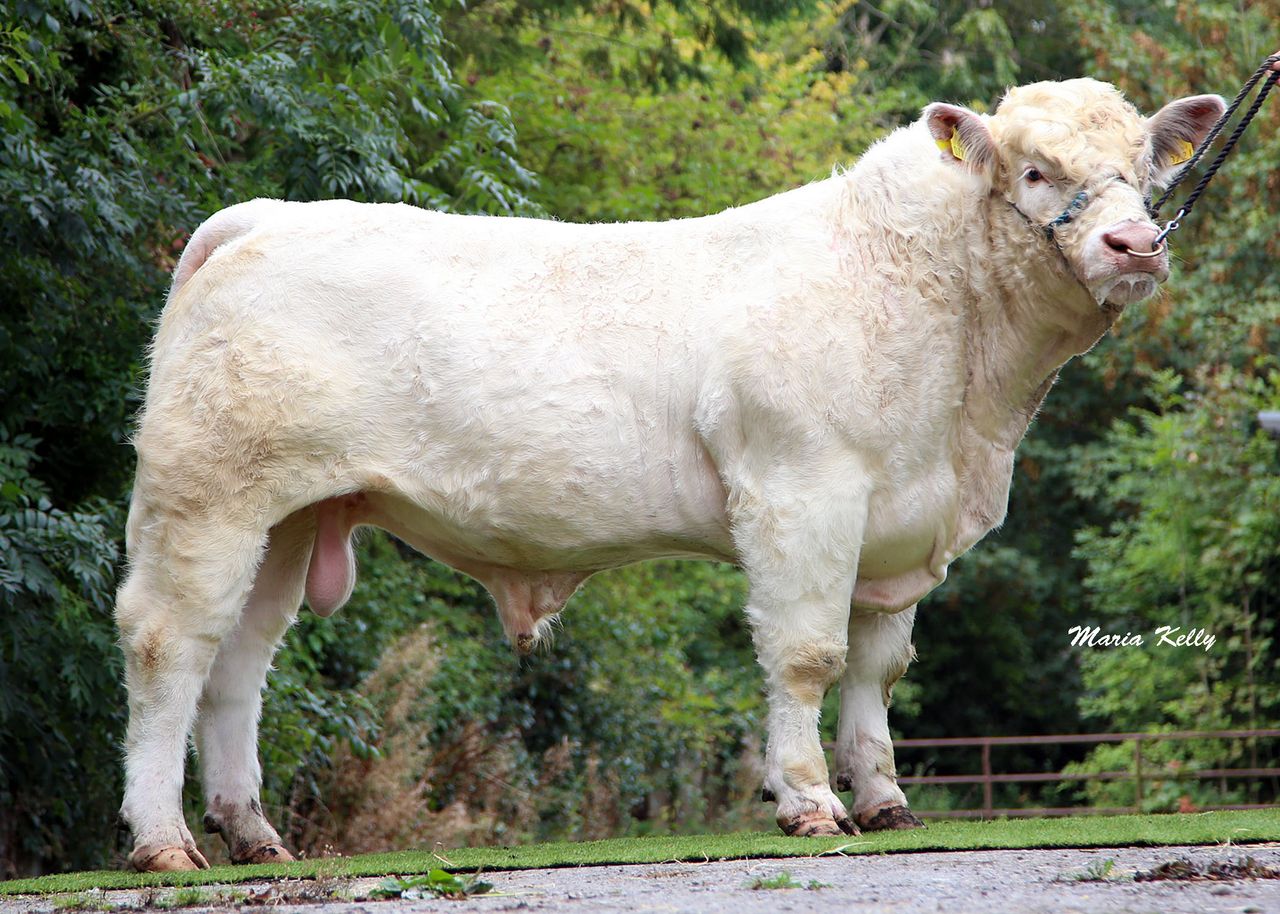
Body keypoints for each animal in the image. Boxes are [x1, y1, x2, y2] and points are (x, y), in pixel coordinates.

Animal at [115, 78, 1225, 871]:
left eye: (1143, 167)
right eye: (1034, 172)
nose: (1135, 242)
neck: (968, 408)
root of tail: (261, 217)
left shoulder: (898, 519)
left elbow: (876, 668)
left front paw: (884, 800)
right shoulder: (801, 489)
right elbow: (806, 657)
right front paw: (808, 801)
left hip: (289, 514)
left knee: (240, 663)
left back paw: (253, 832)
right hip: (206, 494)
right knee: (171, 646)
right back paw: (163, 840)